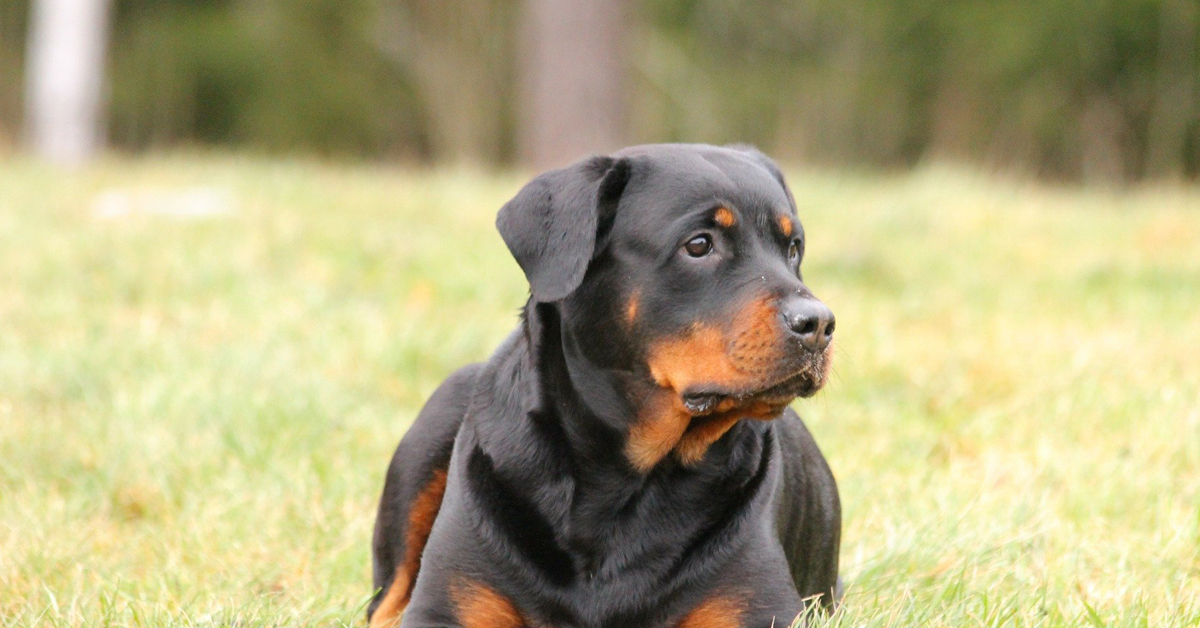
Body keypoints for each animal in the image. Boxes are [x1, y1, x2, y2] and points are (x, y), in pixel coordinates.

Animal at [369, 143, 840, 628]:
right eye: (698, 245)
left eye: (793, 249)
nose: (818, 323)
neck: (622, 475)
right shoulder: (444, 606)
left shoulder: (760, 608)